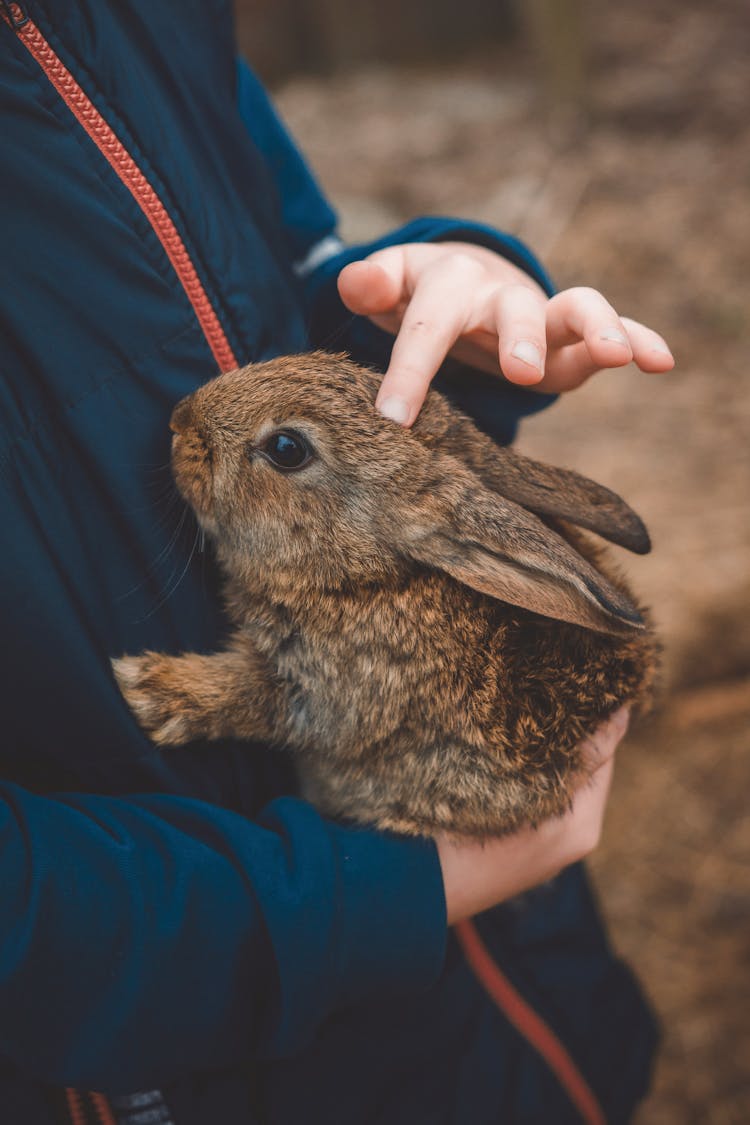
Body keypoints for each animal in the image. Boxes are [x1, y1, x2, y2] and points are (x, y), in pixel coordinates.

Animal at [111, 351, 656, 837]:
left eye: (287, 448)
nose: (180, 420)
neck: (365, 578)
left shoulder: (332, 696)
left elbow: (251, 698)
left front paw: (150, 689)